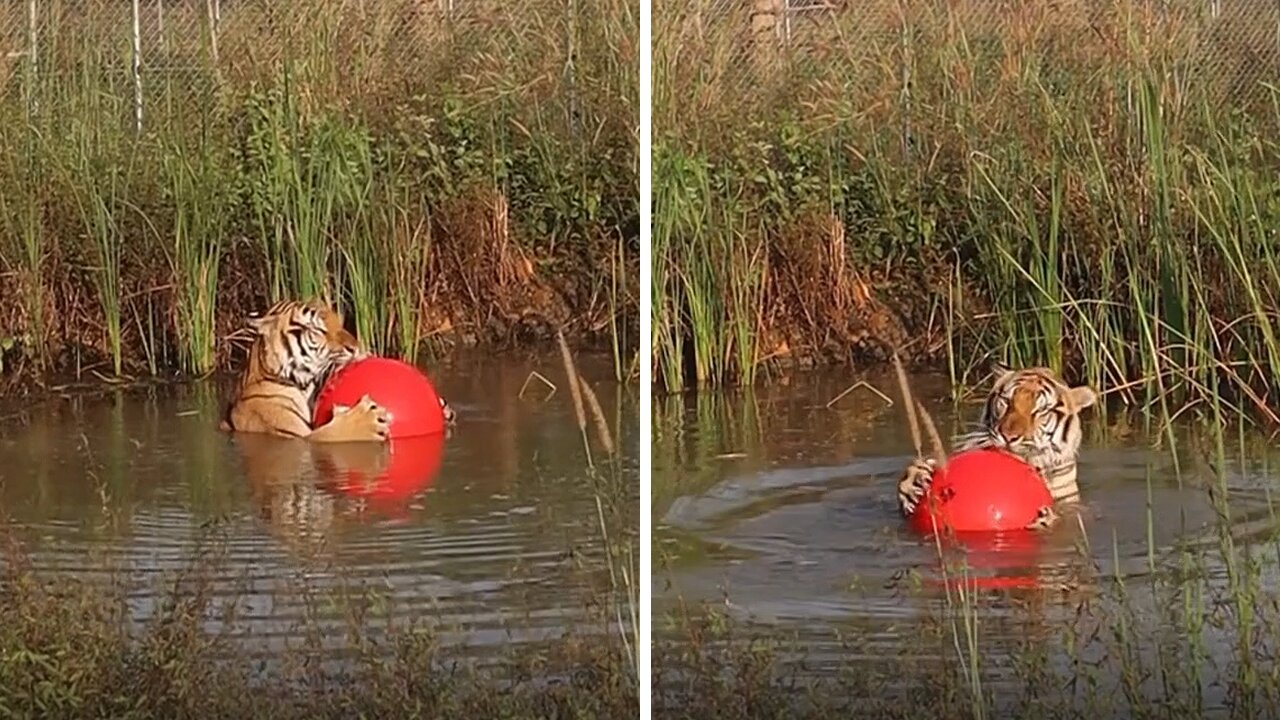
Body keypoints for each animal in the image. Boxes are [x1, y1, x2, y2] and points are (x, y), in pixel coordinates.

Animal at [220, 295, 389, 440]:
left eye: (339, 322)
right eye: (319, 330)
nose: (355, 348)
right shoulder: (298, 435)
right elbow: (331, 433)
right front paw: (368, 421)